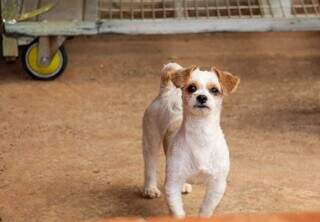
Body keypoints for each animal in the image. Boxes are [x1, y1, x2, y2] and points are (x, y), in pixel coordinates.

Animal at [142, 62, 240, 217]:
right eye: (192, 88)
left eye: (214, 90)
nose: (202, 97)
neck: (201, 134)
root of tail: (166, 91)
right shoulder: (172, 184)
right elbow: (178, 212)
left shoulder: (217, 184)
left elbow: (206, 209)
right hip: (151, 141)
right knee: (150, 166)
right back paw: (150, 189)